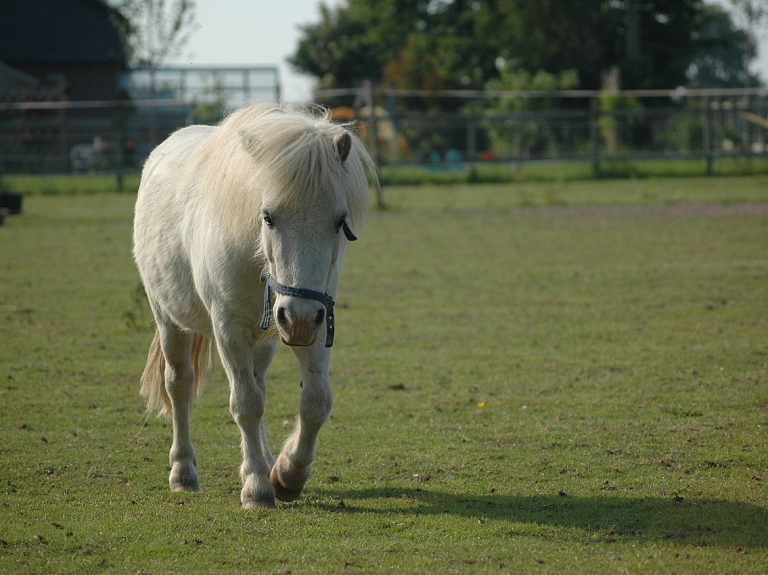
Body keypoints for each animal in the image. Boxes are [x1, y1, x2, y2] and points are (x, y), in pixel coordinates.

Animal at [134, 102, 376, 508]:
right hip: (168, 318)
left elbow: (315, 401)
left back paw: (264, 462)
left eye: (339, 221)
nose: (298, 319)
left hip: (266, 337)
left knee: (259, 383)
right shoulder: (228, 329)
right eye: (268, 217)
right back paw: (183, 472)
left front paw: (287, 475)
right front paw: (258, 488)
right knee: (180, 384)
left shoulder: (318, 320)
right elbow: (246, 404)